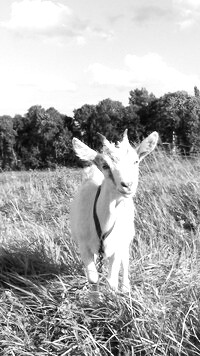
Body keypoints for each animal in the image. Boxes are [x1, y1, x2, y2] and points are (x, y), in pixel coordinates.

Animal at [69, 131, 159, 292]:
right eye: (105, 165)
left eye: (136, 161)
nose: (127, 185)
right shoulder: (83, 245)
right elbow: (93, 278)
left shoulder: (118, 245)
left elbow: (112, 281)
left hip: (127, 238)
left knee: (125, 261)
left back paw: (125, 287)